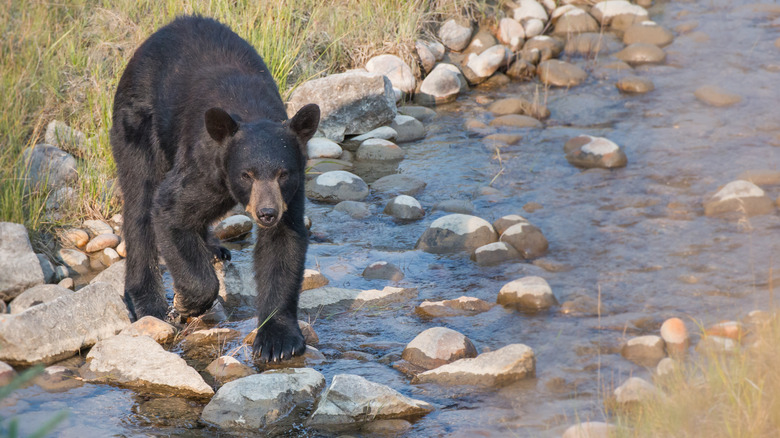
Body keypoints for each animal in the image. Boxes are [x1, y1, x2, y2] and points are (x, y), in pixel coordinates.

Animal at [110, 15, 320, 363]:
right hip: (138, 122)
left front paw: (278, 340)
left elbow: (283, 246)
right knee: (140, 200)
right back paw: (146, 301)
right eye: (246, 174)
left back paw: (212, 248)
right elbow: (168, 209)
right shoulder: (204, 166)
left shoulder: (291, 193)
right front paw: (186, 302)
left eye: (283, 173)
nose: (266, 213)